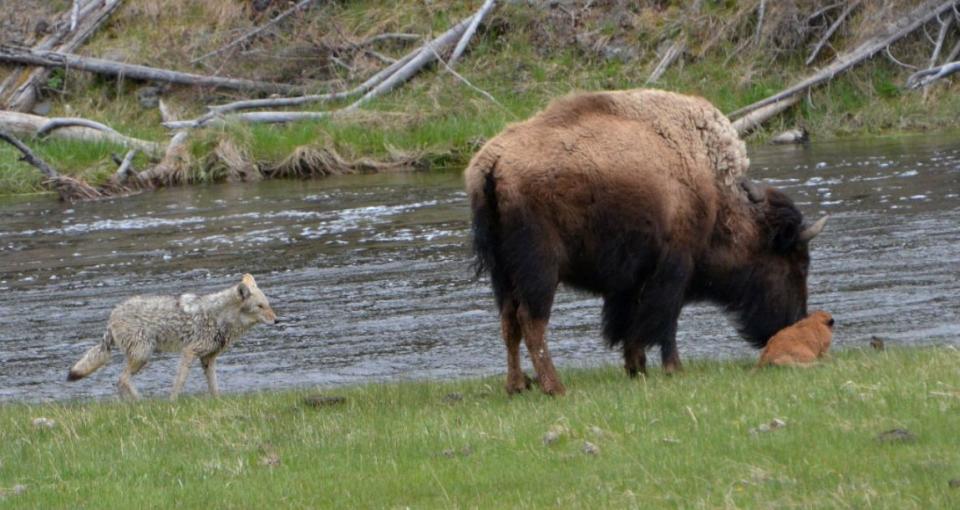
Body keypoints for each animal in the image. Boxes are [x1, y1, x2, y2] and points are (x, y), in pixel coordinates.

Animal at [464, 89, 824, 396]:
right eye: (796, 262)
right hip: (540, 269)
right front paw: (673, 368)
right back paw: (555, 387)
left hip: (502, 273)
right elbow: (663, 322)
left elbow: (630, 325)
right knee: (532, 321)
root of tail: (493, 163)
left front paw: (636, 368)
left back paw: (517, 386)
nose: (793, 323)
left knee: (509, 321)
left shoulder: (630, 281)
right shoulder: (673, 268)